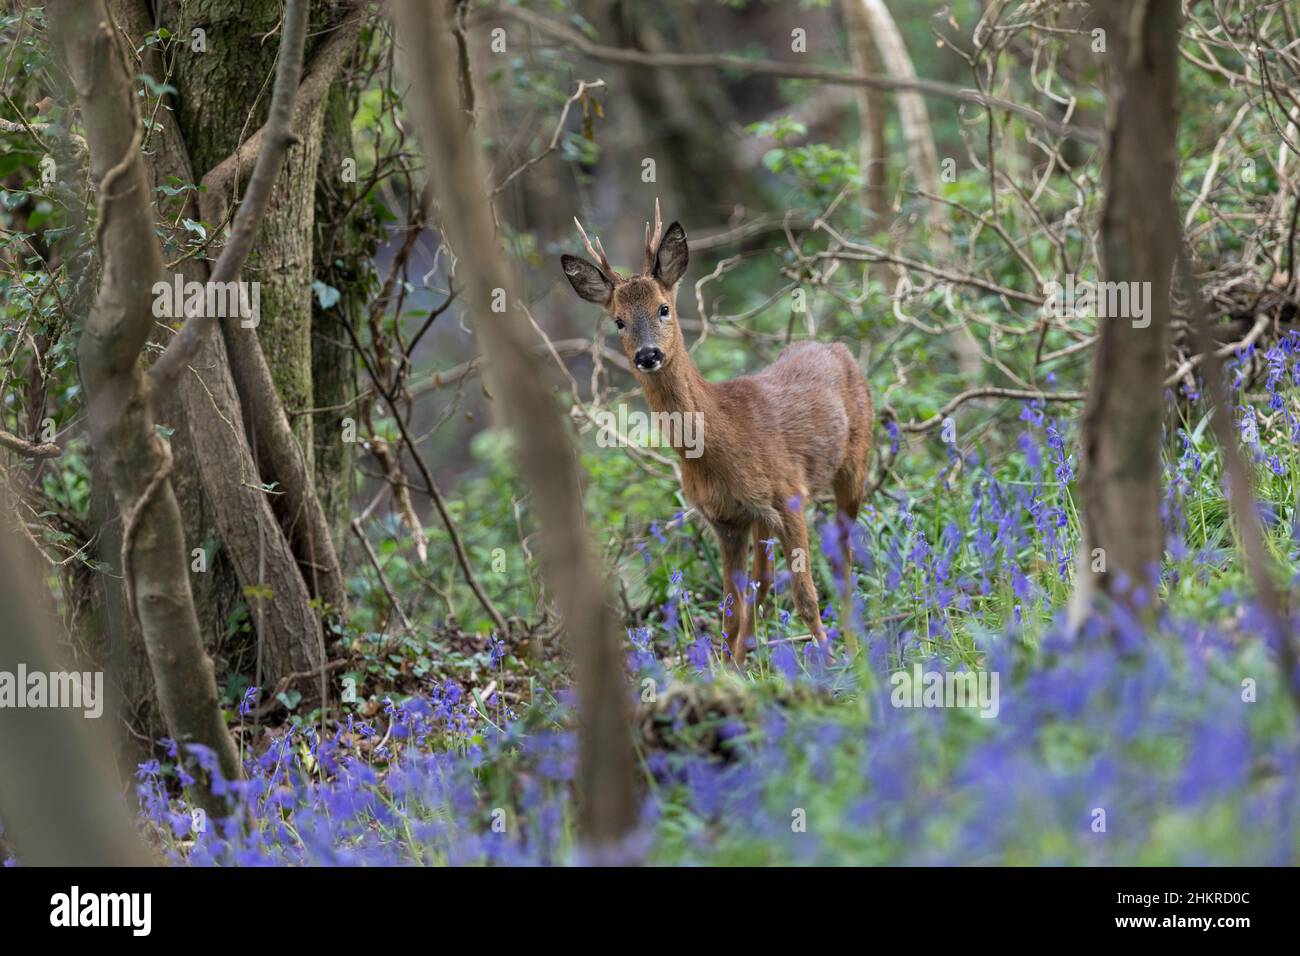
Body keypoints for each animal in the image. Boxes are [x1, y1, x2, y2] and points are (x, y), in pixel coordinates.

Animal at [561, 202, 874, 665]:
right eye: (618, 321)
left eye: (664, 308)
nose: (648, 355)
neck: (722, 445)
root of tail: (839, 348)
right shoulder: (725, 520)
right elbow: (731, 608)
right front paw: (726, 670)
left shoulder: (790, 494)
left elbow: (805, 595)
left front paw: (832, 664)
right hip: (762, 520)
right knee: (763, 581)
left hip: (854, 462)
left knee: (842, 562)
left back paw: (852, 648)